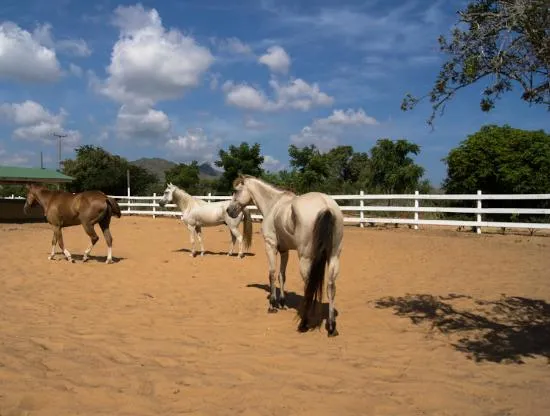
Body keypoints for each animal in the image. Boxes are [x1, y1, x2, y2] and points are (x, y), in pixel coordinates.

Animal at [226, 174, 342, 336]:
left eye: (236, 191)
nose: (229, 211)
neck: (273, 204)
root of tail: (325, 205)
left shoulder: (271, 246)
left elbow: (272, 274)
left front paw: (272, 304)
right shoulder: (284, 250)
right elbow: (282, 275)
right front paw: (281, 302)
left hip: (305, 258)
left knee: (309, 286)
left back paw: (303, 324)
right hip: (333, 257)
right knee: (331, 287)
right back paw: (331, 327)